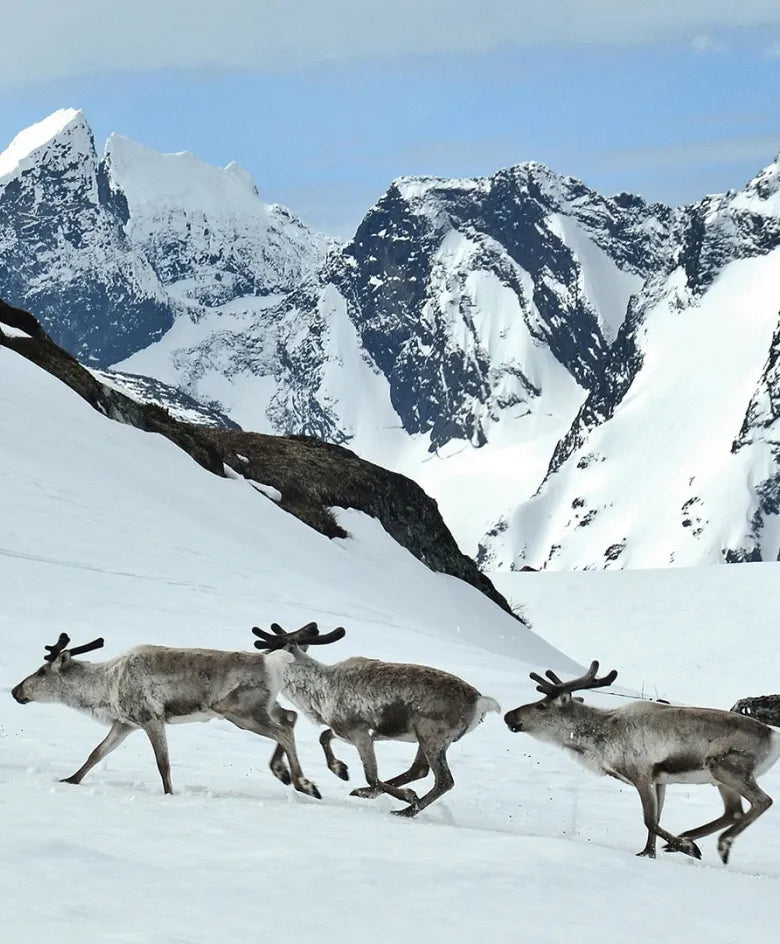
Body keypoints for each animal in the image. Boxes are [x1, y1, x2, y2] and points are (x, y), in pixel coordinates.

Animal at [11, 632, 321, 799]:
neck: (105, 686)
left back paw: (304, 783)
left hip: (241, 712)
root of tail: (273, 661)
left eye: (41, 671)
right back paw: (286, 773)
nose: (15, 691)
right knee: (289, 717)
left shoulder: (151, 718)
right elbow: (96, 753)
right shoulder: (124, 724)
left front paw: (169, 795)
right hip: (264, 706)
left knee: (283, 730)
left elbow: (163, 764)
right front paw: (70, 780)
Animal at [251, 621, 501, 817]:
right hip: (428, 739)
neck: (319, 691)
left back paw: (404, 810)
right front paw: (340, 769)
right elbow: (324, 737)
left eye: (269, 648)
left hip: (432, 737)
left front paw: (406, 795)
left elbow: (371, 775)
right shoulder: (345, 731)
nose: (254, 662)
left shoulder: (361, 733)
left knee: (443, 780)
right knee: (419, 770)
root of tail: (480, 702)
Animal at [504, 661, 780, 864]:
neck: (600, 738)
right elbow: (656, 818)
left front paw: (686, 848)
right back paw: (685, 839)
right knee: (733, 811)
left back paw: (718, 843)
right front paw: (650, 853)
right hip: (720, 779)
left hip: (726, 767)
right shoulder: (660, 779)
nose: (508, 716)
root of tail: (773, 737)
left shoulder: (641, 772)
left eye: (541, 706)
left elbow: (649, 819)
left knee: (762, 801)